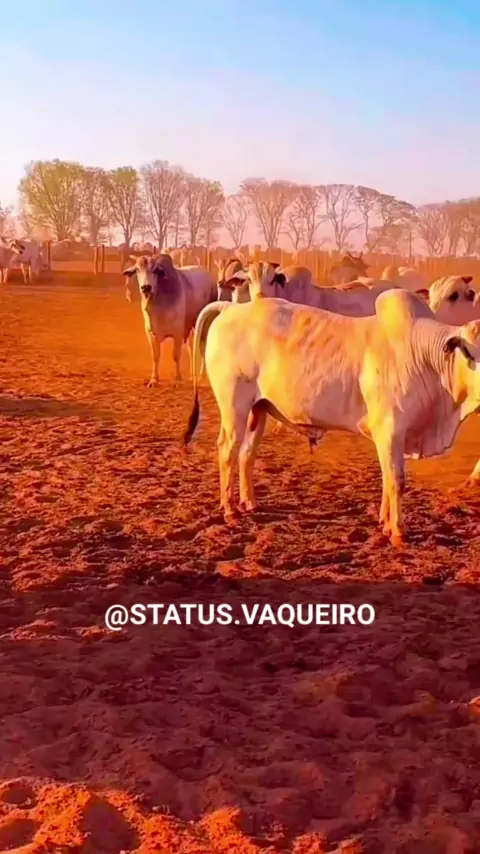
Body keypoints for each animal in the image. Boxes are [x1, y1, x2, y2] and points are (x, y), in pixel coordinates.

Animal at [122, 253, 216, 385]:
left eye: (155, 270)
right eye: (137, 269)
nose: (146, 287)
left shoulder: (177, 333)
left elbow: (175, 355)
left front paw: (178, 378)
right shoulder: (151, 333)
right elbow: (155, 356)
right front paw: (154, 379)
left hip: (205, 324)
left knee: (203, 347)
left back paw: (202, 375)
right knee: (192, 348)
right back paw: (192, 375)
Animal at [183, 289, 480, 546]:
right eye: (471, 353)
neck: (427, 358)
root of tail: (230, 307)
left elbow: (387, 478)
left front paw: (384, 522)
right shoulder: (390, 430)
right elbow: (396, 480)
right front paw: (397, 531)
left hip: (259, 409)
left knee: (247, 453)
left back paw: (249, 503)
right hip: (234, 406)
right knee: (227, 450)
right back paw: (230, 509)